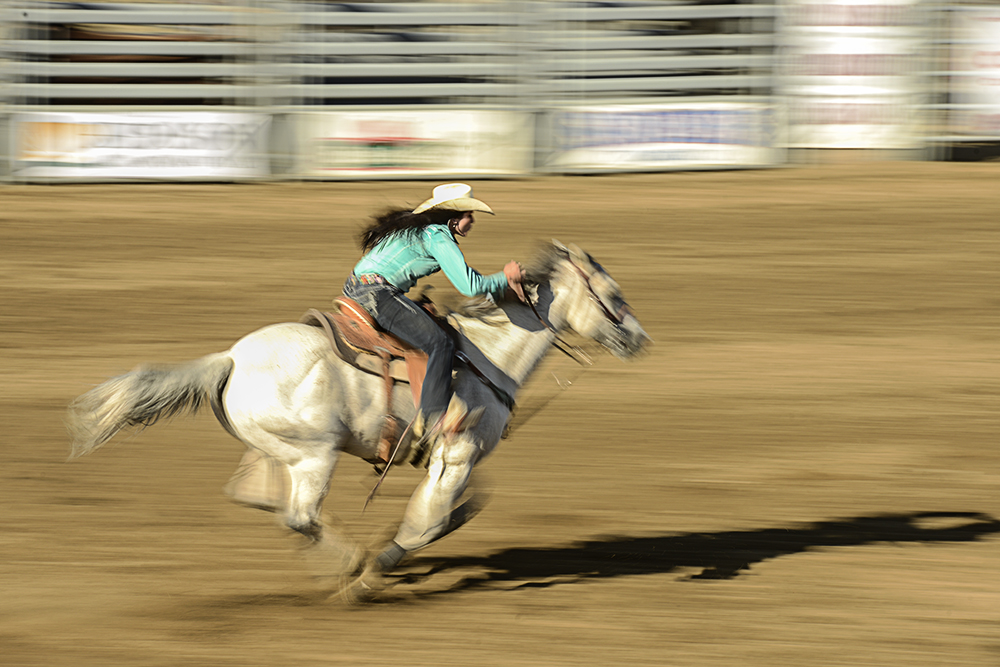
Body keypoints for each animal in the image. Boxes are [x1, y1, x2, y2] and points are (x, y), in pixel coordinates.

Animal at [68, 241, 648, 604]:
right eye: (614, 296)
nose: (640, 339)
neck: (488, 353)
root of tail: (229, 359)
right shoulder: (456, 455)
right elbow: (427, 520)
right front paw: (375, 572)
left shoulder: (456, 459)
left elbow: (462, 507)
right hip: (314, 456)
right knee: (298, 515)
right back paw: (348, 563)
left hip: (273, 450)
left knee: (259, 498)